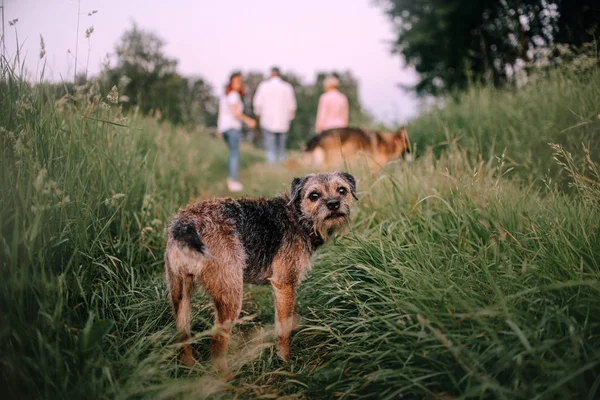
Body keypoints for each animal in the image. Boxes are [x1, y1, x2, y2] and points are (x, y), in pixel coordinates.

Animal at [164, 172, 356, 372]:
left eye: (342, 190)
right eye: (314, 196)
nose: (333, 204)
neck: (296, 216)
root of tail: (186, 223)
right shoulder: (284, 284)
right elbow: (283, 329)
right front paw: (284, 361)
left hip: (179, 293)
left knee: (182, 334)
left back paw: (188, 365)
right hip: (230, 294)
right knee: (217, 341)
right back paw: (225, 377)